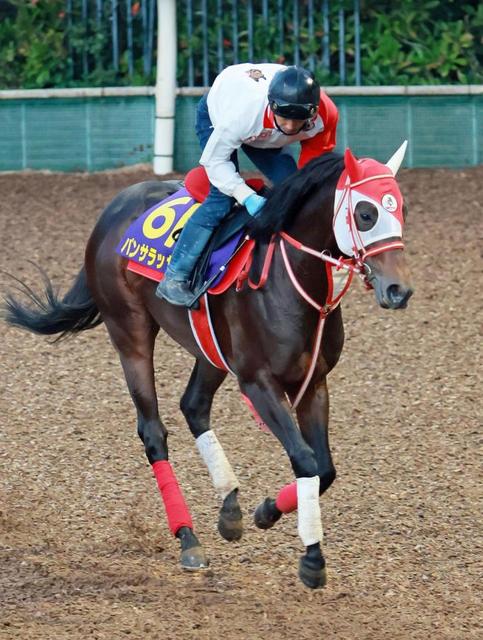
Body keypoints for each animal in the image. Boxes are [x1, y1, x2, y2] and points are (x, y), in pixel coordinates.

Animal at [3, 144, 414, 592]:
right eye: (365, 213)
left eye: (401, 208)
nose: (399, 290)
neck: (291, 284)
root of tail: (115, 205)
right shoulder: (258, 383)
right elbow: (305, 460)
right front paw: (311, 558)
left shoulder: (314, 383)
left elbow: (324, 469)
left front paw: (265, 512)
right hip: (128, 330)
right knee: (153, 431)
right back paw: (188, 538)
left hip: (209, 349)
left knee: (194, 406)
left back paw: (229, 507)